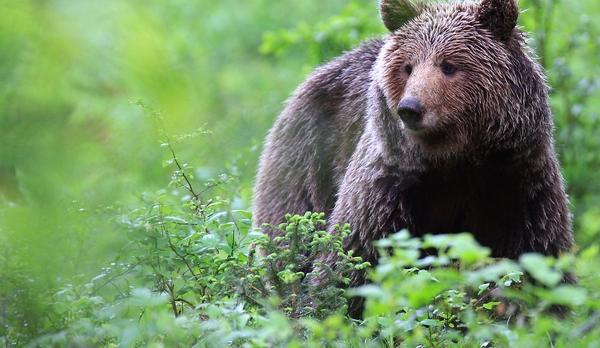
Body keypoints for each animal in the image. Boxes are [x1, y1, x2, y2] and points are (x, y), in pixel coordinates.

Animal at [251, 0, 576, 286]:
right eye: (408, 67)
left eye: (448, 65)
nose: (410, 108)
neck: (456, 158)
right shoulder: (389, 186)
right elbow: (351, 259)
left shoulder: (519, 182)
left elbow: (539, 257)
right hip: (307, 165)